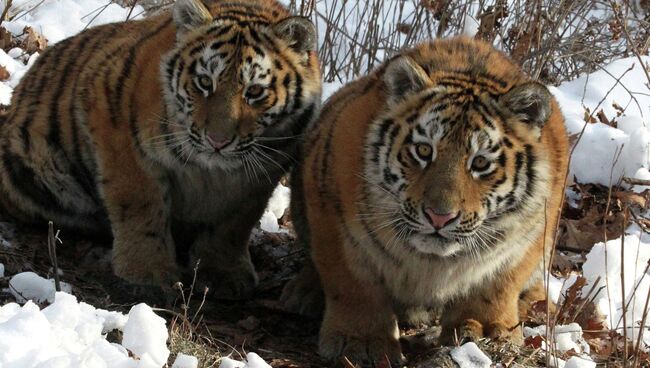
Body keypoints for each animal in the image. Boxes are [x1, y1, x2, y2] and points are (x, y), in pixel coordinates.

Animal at [0, 0, 322, 300]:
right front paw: (147, 274)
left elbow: (234, 223)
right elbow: (140, 204)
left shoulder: (263, 173)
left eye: (254, 91)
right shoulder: (114, 123)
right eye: (204, 82)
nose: (217, 141)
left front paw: (223, 273)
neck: (213, 171)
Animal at [280, 36, 564, 364]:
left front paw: (485, 332)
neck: (431, 263)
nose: (439, 216)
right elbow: (353, 283)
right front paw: (361, 341)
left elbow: (495, 286)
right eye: (424, 150)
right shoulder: (334, 218)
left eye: (480, 163)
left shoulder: (527, 238)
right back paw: (304, 293)